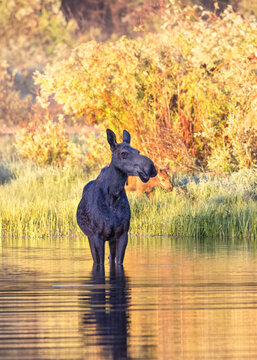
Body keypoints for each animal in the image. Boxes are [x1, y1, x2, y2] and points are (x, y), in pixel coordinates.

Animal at [76, 129, 156, 264]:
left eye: (137, 151)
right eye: (124, 153)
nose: (151, 167)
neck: (113, 196)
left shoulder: (122, 234)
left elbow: (118, 261)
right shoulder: (97, 236)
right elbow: (99, 262)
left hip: (111, 239)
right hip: (90, 237)